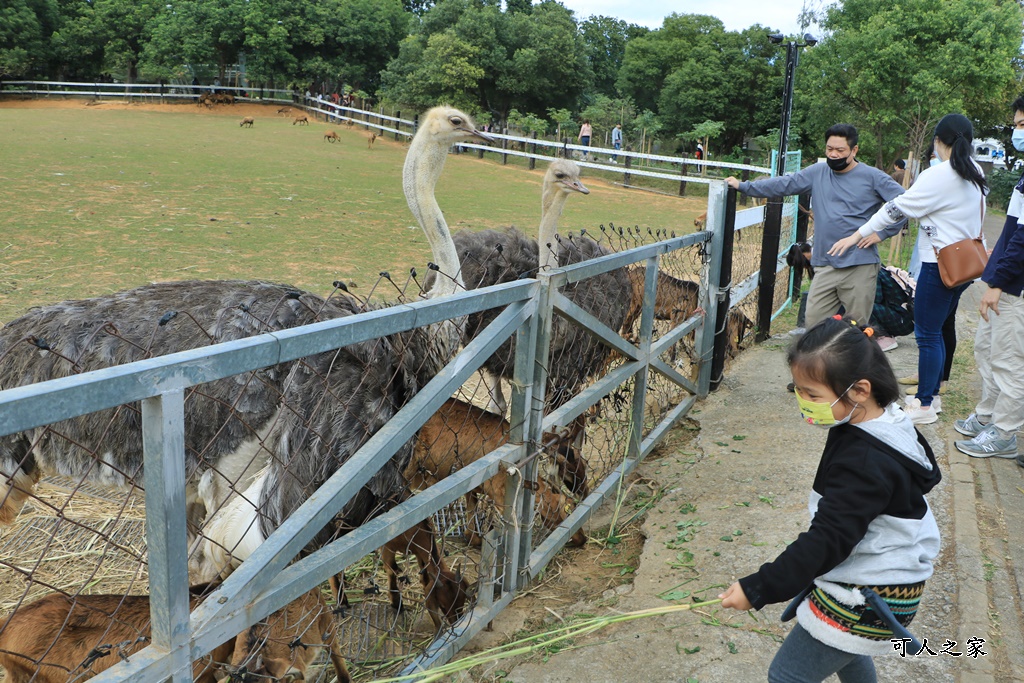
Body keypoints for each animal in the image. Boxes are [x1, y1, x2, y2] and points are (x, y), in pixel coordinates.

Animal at [403, 397, 589, 548]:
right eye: (565, 512)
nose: (583, 539)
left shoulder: (472, 486)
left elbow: (471, 514)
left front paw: (472, 538)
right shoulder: (499, 497)